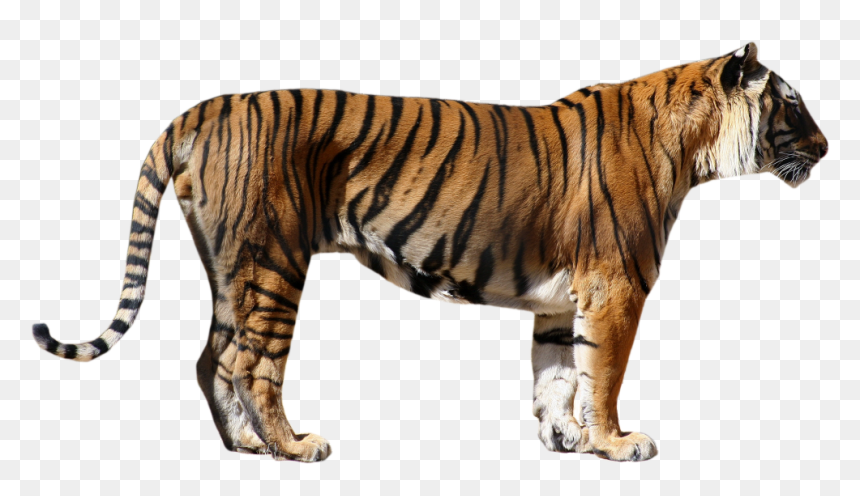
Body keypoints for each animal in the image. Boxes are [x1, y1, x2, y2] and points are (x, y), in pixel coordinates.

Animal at [32, 42, 827, 462]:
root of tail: (203, 109)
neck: (695, 148)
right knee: (251, 364)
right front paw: (616, 442)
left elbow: (556, 375)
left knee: (211, 357)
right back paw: (295, 447)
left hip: (234, 269)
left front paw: (564, 439)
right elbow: (602, 375)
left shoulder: (560, 299)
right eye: (791, 104)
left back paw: (247, 448)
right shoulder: (616, 287)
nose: (825, 146)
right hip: (273, 263)